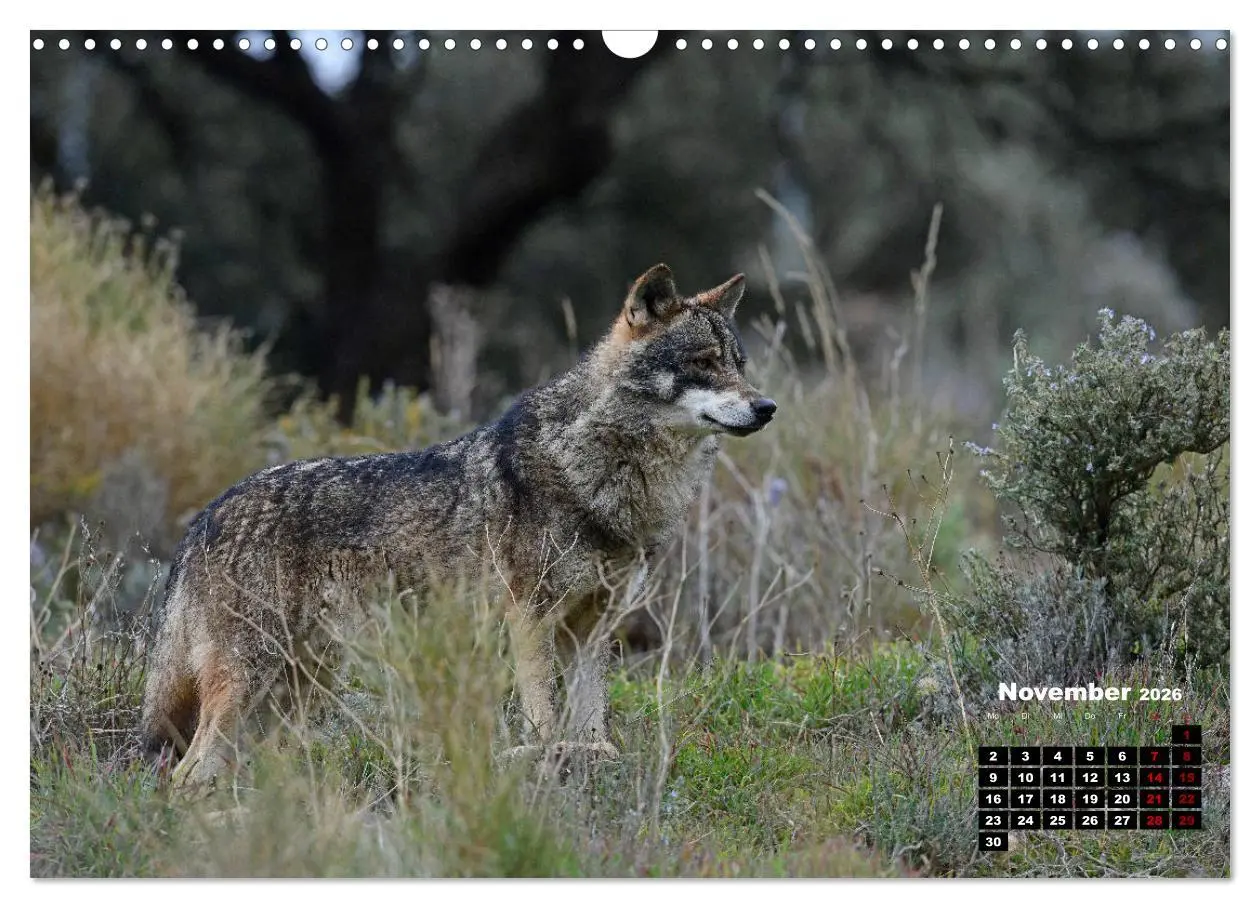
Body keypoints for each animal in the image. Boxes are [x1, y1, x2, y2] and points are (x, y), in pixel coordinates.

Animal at [138, 264, 777, 788]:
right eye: (703, 363)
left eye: (740, 366)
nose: (767, 407)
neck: (598, 470)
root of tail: (205, 516)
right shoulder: (530, 618)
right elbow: (543, 717)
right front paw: (547, 762)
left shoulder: (594, 629)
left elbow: (592, 719)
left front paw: (593, 759)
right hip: (256, 679)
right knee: (189, 771)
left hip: (297, 686)